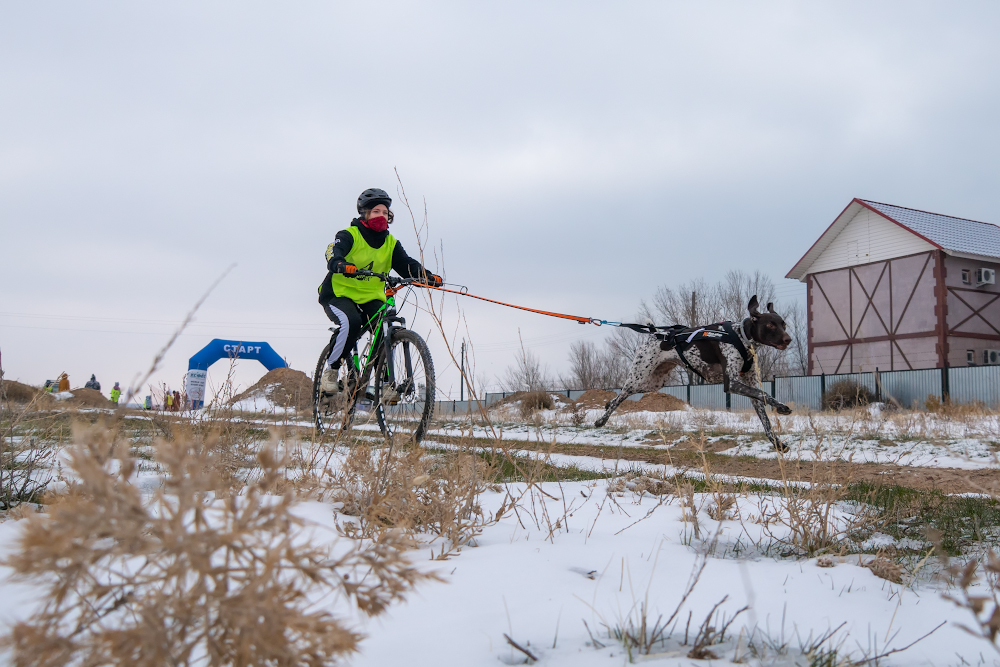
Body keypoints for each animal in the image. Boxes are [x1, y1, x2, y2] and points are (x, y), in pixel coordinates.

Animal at [592, 298, 796, 452]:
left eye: (783, 324)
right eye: (770, 324)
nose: (789, 339)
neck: (741, 337)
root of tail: (655, 334)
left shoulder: (750, 385)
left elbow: (765, 417)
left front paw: (777, 443)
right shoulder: (731, 383)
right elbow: (765, 393)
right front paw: (781, 407)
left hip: (653, 383)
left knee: (621, 395)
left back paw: (607, 403)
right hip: (639, 376)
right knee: (622, 395)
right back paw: (601, 419)